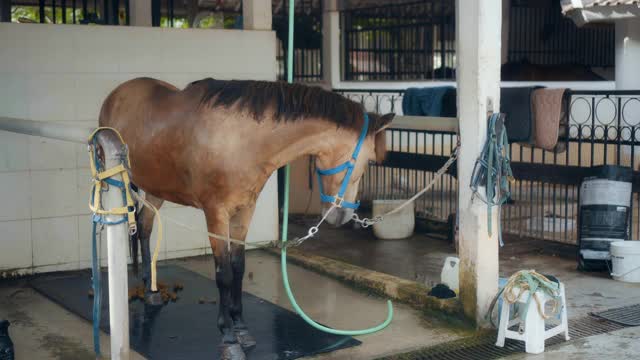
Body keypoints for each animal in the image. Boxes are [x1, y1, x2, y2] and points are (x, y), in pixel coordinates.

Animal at [98, 77, 392, 358]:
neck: (241, 141)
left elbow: (238, 267)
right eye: (367, 162)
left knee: (145, 227)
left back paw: (152, 292)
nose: (343, 215)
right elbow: (224, 274)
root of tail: (116, 94)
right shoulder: (216, 215)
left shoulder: (245, 211)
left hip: (156, 188)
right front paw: (228, 337)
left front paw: (240, 328)